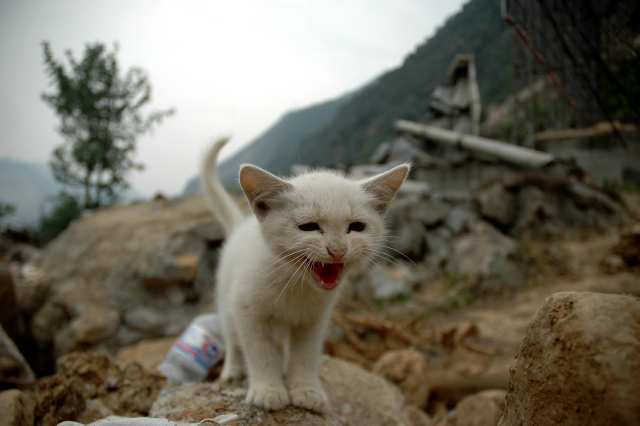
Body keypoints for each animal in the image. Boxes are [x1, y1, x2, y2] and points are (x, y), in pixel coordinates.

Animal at [200, 138, 410, 412]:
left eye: (356, 227)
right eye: (309, 226)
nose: (337, 250)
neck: (295, 284)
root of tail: (240, 226)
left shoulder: (314, 319)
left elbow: (305, 355)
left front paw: (305, 390)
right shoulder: (247, 310)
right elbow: (260, 351)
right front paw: (268, 389)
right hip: (226, 300)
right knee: (232, 339)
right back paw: (232, 371)